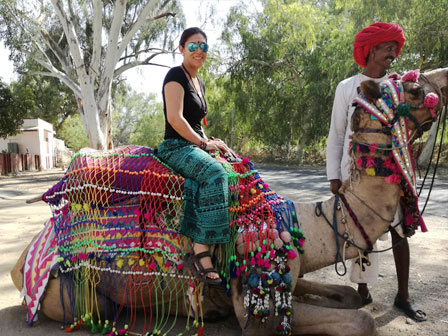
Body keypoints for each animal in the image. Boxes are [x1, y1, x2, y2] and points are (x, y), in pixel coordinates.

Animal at [10, 67, 448, 334]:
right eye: (412, 86)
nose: (442, 78)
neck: (302, 223)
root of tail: (24, 261)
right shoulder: (256, 305)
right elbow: (362, 322)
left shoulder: (292, 273)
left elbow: (348, 296)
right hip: (70, 293)